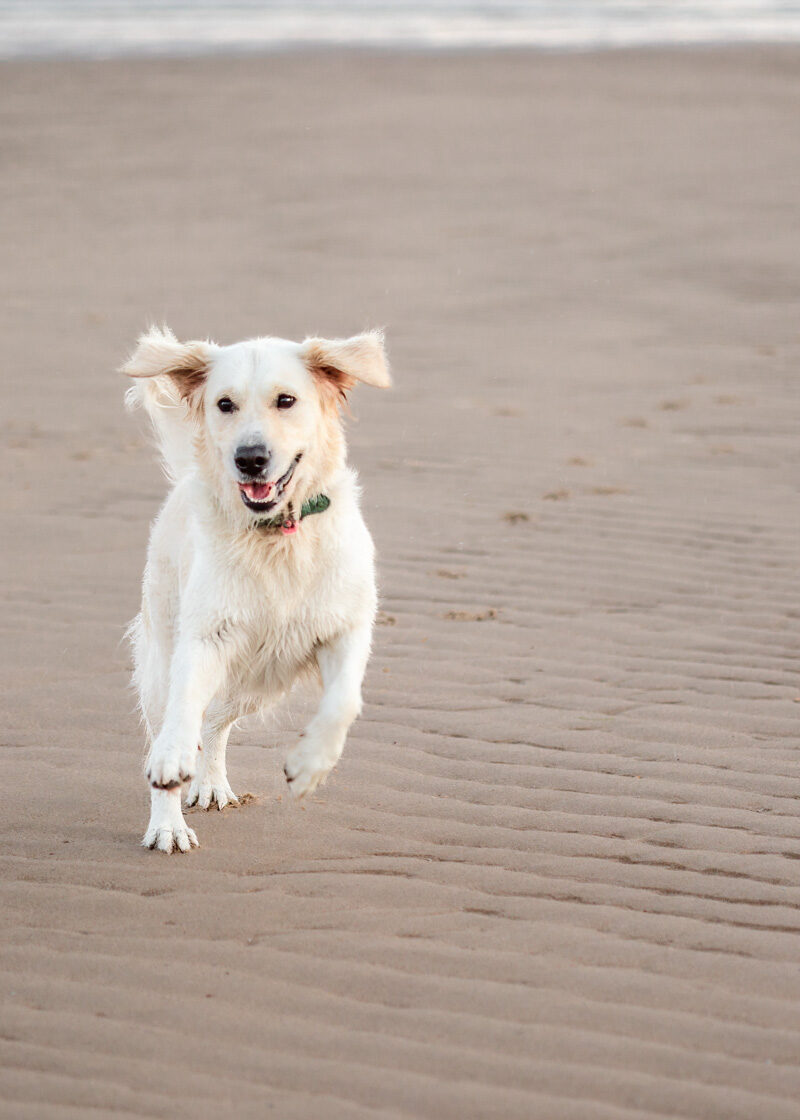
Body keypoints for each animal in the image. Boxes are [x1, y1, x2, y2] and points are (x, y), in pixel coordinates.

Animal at [121, 327, 389, 851]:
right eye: (224, 404)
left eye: (286, 400)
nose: (250, 459)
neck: (275, 534)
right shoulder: (204, 636)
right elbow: (181, 714)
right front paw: (171, 766)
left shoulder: (345, 626)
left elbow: (344, 701)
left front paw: (309, 766)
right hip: (168, 654)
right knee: (179, 716)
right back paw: (169, 824)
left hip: (257, 681)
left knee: (216, 721)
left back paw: (210, 784)